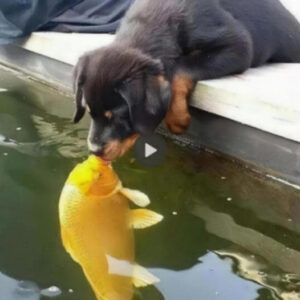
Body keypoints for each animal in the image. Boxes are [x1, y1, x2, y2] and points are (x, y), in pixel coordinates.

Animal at [73, 0, 300, 161]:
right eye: (89, 111)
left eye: (119, 117)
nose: (94, 150)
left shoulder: (238, 45)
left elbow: (180, 67)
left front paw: (177, 119)